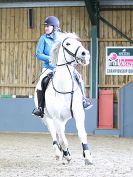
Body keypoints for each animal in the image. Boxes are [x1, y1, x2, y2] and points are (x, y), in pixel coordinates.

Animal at [41, 32, 92, 165]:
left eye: (79, 42)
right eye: (68, 44)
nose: (85, 54)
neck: (64, 88)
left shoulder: (79, 113)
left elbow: (82, 134)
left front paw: (88, 157)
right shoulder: (56, 118)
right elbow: (63, 140)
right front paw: (67, 156)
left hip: (63, 120)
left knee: (60, 134)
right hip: (47, 119)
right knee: (55, 135)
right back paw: (60, 154)